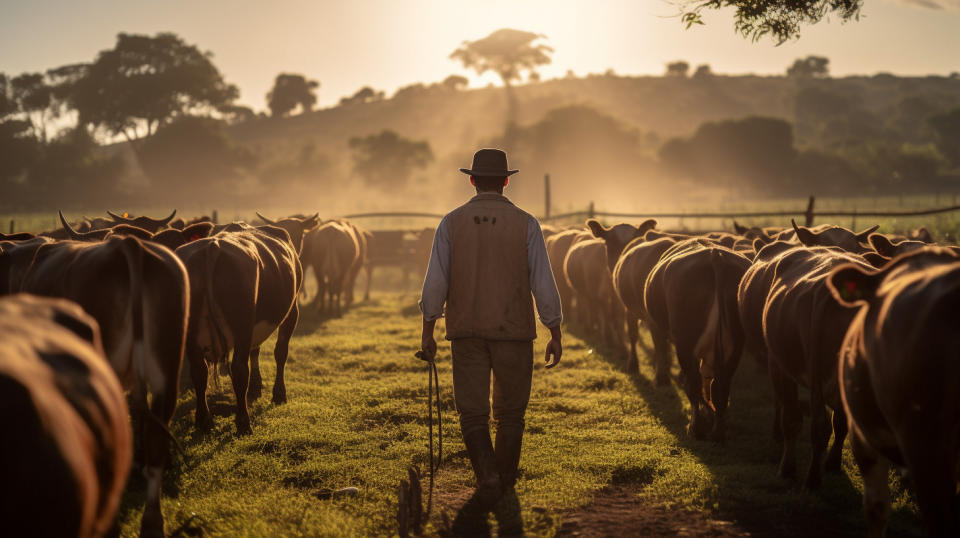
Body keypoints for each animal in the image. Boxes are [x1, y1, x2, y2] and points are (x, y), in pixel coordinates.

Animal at [176, 211, 318, 434]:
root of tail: (212, 247)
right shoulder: (292, 311)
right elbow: (280, 352)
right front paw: (278, 394)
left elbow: (256, 350)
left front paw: (256, 387)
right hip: (242, 326)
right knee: (239, 370)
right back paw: (243, 421)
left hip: (191, 332)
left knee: (200, 372)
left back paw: (204, 421)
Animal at [640, 240, 752, 440]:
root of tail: (715, 256)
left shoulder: (656, 327)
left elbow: (661, 351)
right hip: (735, 347)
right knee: (720, 387)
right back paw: (717, 432)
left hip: (686, 344)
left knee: (693, 384)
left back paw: (696, 428)